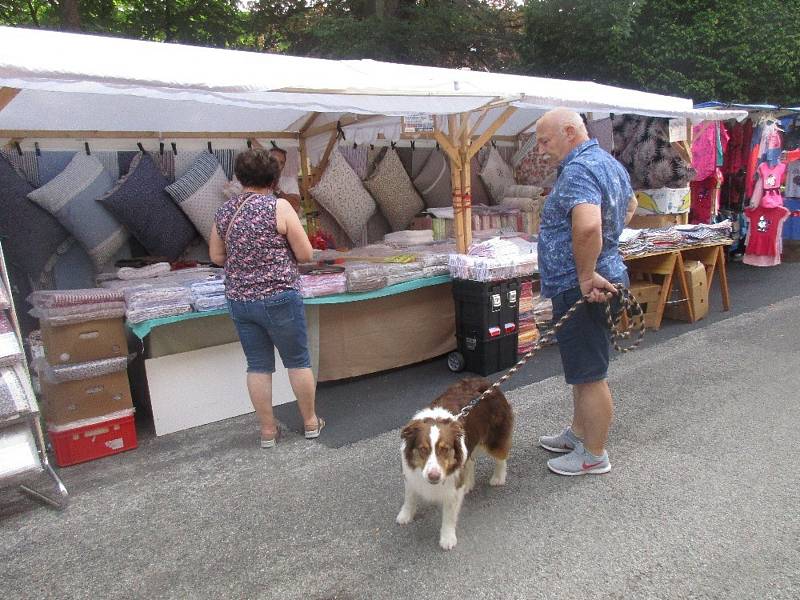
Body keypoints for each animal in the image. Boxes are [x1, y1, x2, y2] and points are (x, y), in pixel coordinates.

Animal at [396, 378, 516, 552]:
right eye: (423, 449)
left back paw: (498, 478)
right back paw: (468, 484)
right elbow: (410, 497)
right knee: (470, 461)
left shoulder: (452, 488)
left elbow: (449, 516)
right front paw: (405, 515)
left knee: (501, 457)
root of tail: (485, 382)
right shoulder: (411, 475)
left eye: (445, 449)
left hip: (494, 438)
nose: (434, 476)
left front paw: (447, 539)